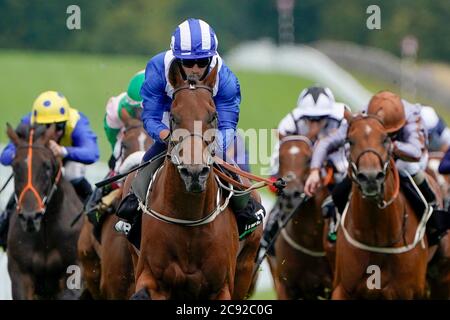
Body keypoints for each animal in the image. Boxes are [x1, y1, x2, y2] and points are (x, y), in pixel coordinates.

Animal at [332, 114, 450, 298]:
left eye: (385, 139)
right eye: (350, 141)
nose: (370, 177)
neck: (378, 237)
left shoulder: (407, 291)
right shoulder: (342, 288)